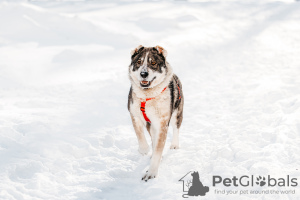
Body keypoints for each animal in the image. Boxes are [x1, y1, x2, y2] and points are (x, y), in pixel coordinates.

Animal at [126, 45, 183, 181]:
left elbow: (158, 149)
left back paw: (174, 144)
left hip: (177, 114)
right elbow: (139, 133)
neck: (147, 96)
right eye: (139, 62)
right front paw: (144, 149)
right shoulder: (134, 114)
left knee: (176, 128)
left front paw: (151, 172)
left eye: (153, 63)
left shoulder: (163, 123)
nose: (143, 74)